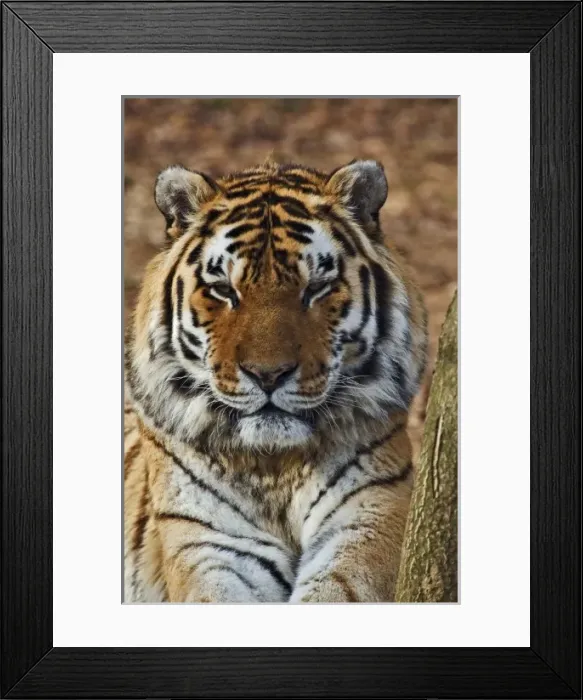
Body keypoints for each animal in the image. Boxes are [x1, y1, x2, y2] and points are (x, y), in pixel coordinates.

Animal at [124, 158, 427, 603]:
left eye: (316, 288)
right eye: (223, 290)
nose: (268, 374)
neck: (275, 466)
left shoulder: (368, 516)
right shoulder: (212, 542)